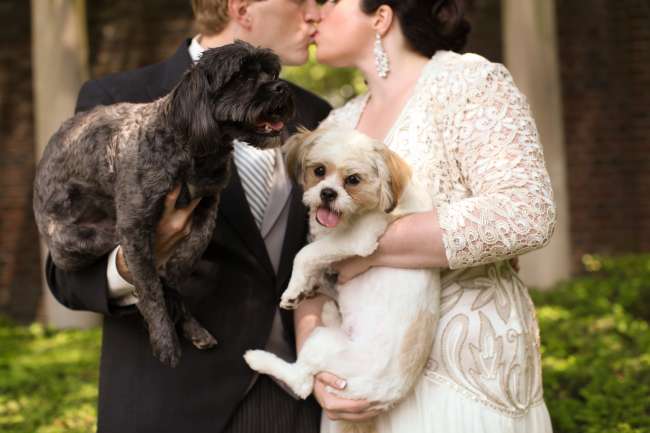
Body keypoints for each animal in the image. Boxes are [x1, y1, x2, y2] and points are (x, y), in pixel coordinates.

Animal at [33, 39, 292, 364]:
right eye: (242, 77)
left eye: (271, 73)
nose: (282, 87)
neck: (192, 149)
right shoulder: (134, 226)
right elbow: (149, 287)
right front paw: (164, 337)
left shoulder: (207, 203)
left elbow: (191, 252)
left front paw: (176, 285)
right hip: (77, 241)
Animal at [244, 126, 440, 430]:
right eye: (319, 171)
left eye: (353, 180)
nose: (327, 193)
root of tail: (378, 399)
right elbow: (317, 254)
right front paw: (309, 286)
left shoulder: (358, 238)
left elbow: (306, 254)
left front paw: (294, 289)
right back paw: (329, 311)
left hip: (322, 344)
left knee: (301, 383)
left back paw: (259, 359)